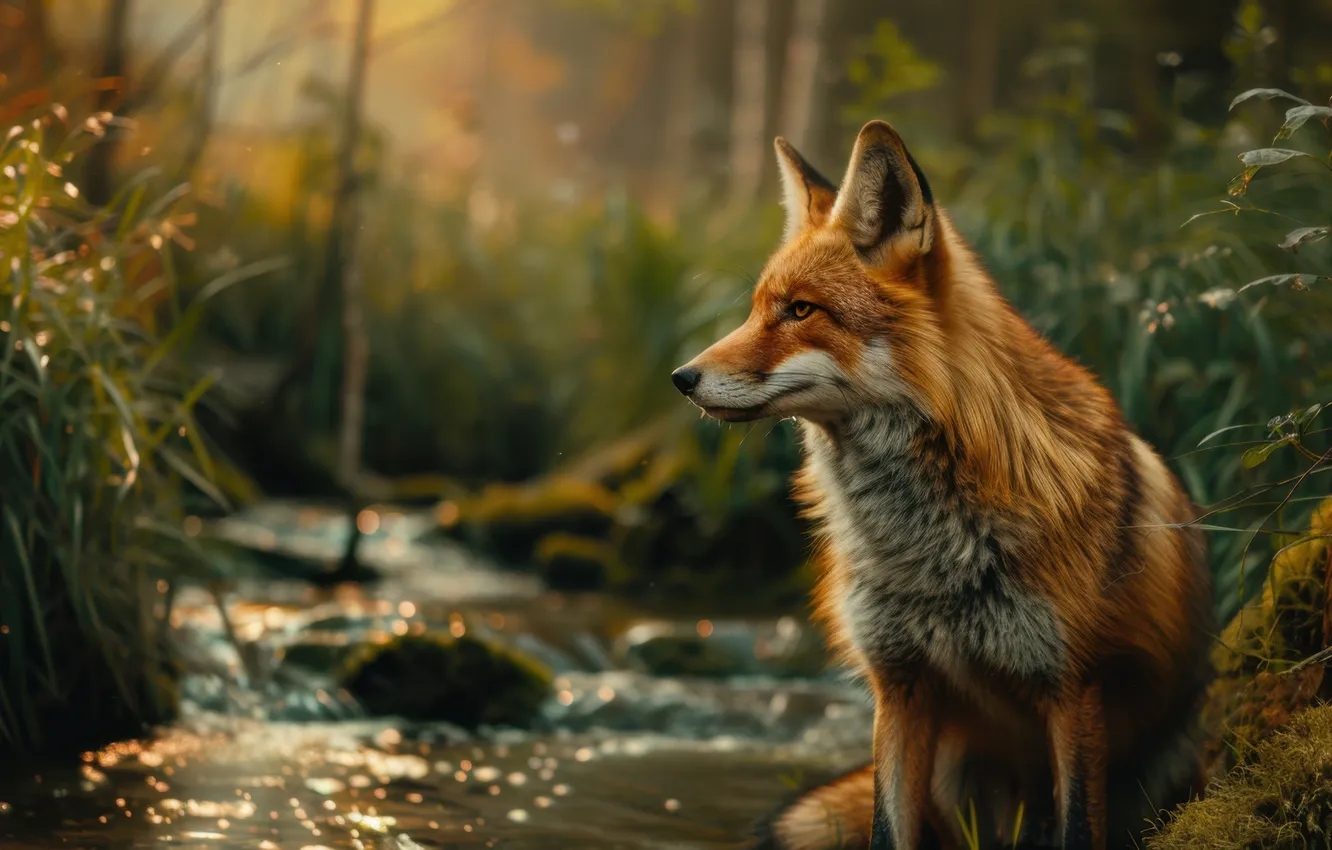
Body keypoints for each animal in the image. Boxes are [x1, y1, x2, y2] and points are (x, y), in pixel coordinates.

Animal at [670, 121, 1214, 850]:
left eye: (801, 310)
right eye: (757, 311)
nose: (681, 377)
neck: (927, 554)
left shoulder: (1073, 687)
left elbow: (1078, 826)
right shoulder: (900, 684)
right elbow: (885, 827)